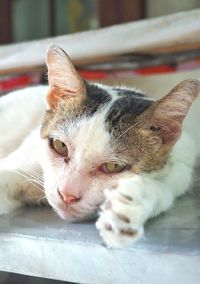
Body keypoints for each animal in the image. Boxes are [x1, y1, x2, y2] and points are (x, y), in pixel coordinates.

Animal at [0, 44, 200, 246]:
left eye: (113, 166)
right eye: (59, 145)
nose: (67, 195)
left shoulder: (181, 169)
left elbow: (163, 190)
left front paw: (129, 205)